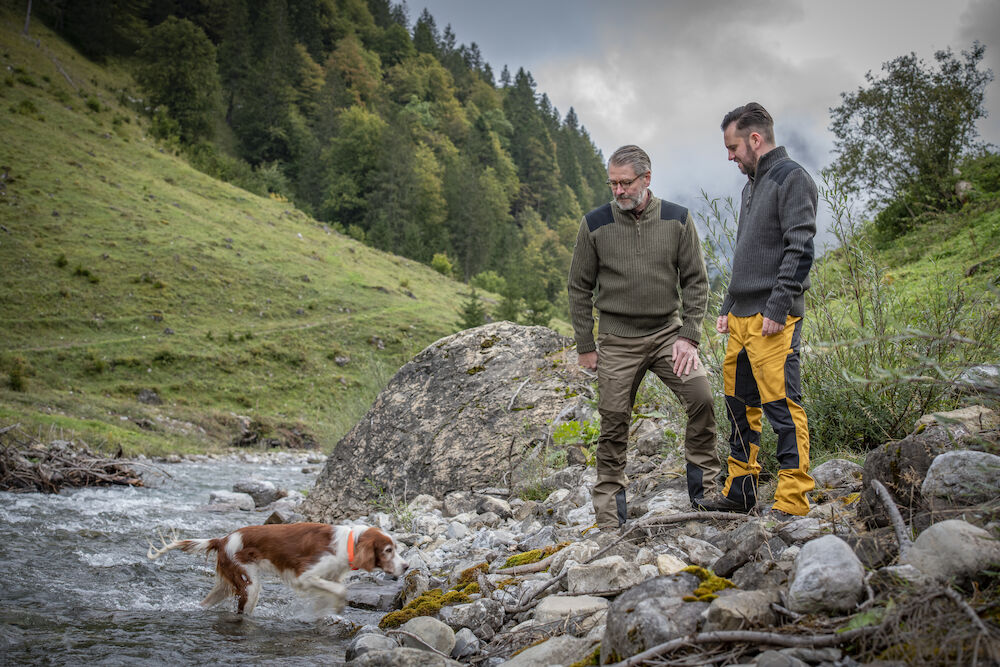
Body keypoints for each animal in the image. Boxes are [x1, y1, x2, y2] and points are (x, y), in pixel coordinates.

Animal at [148, 520, 406, 616]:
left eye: (396, 548)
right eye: (388, 550)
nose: (406, 566)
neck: (348, 543)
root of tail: (222, 539)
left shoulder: (327, 578)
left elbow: (331, 593)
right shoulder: (305, 576)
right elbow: (341, 591)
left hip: (227, 584)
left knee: (206, 602)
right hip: (249, 586)